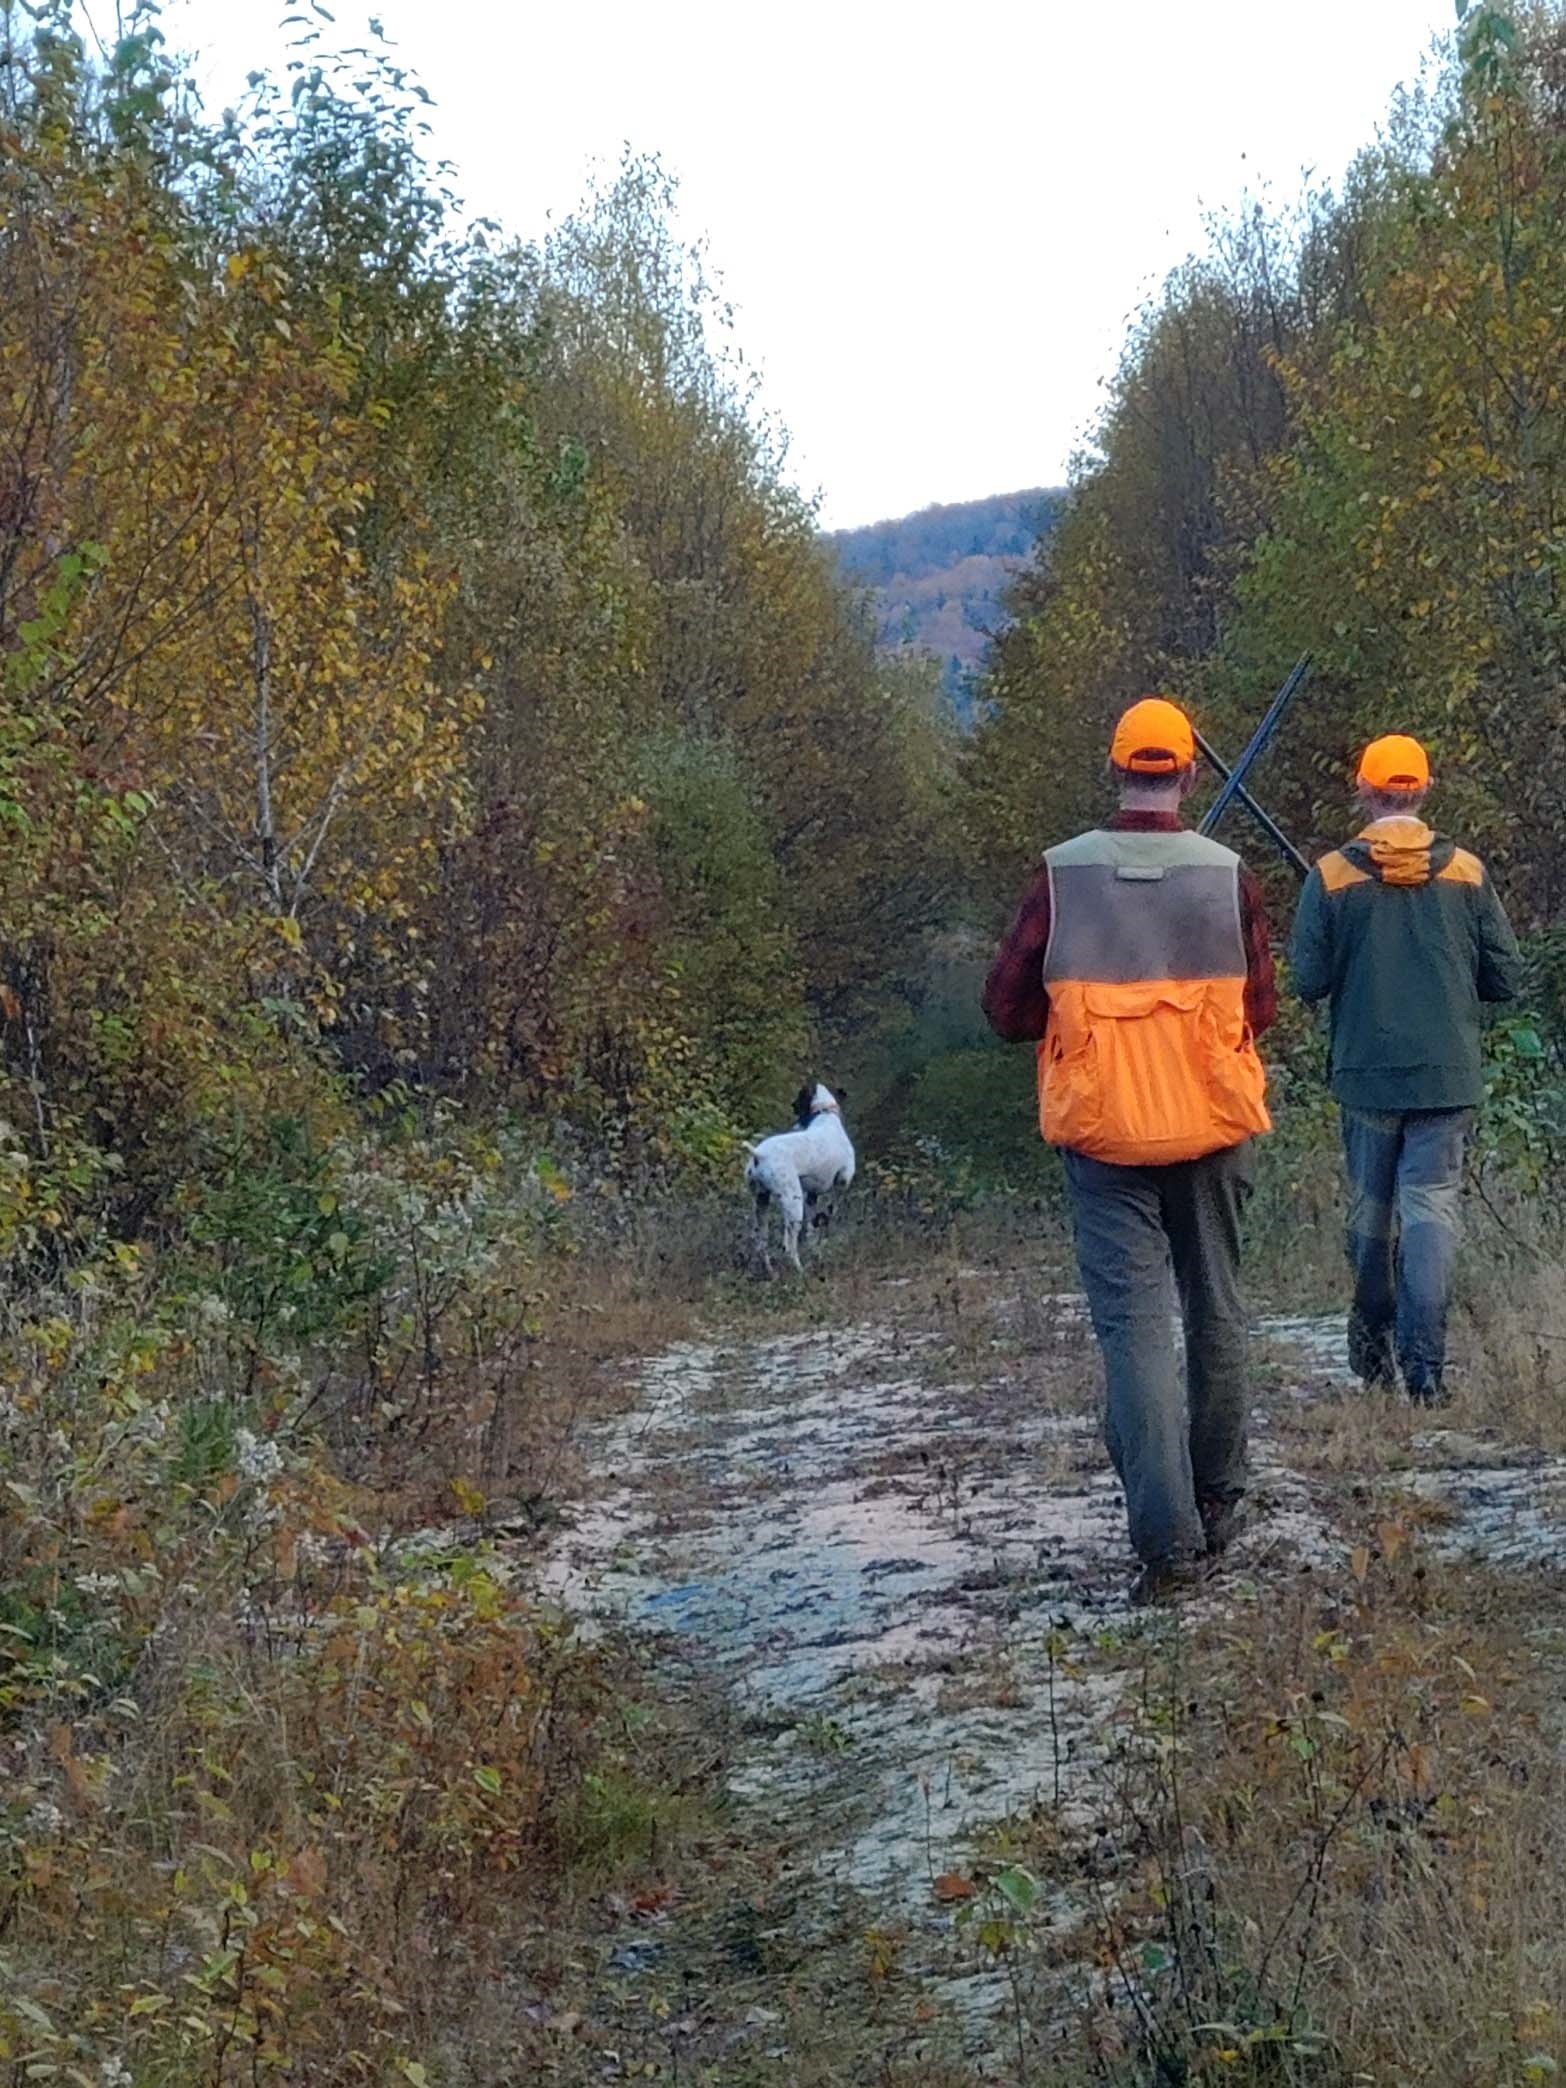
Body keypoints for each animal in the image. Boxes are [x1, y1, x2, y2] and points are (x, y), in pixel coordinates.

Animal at [747, 1077, 860, 1269]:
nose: (792, 1106)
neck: (825, 1115)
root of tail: (759, 1155)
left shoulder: (811, 1196)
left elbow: (813, 1226)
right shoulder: (842, 1182)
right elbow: (829, 1212)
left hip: (761, 1204)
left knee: (761, 1243)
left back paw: (769, 1269)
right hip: (793, 1204)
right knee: (790, 1247)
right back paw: (799, 1268)